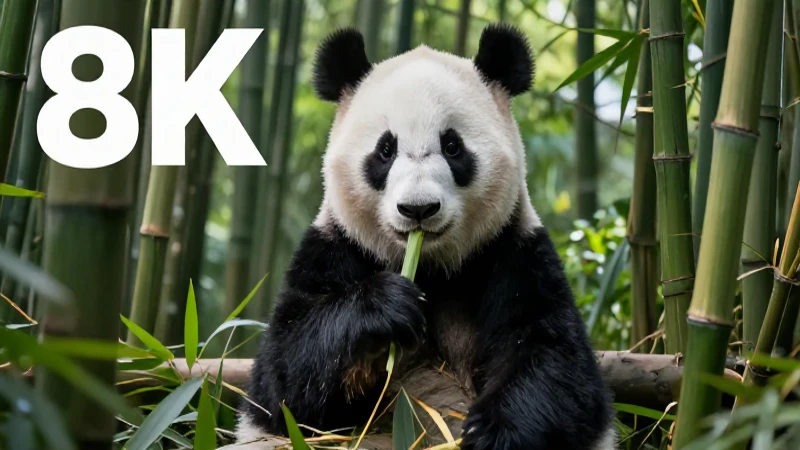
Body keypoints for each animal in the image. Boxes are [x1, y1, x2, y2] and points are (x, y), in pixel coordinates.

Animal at [236, 24, 615, 450]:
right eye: (385, 150)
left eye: (452, 146)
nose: (418, 209)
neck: (430, 268)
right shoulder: (334, 247)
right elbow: (284, 382)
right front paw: (386, 305)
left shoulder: (514, 251)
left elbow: (555, 361)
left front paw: (492, 434)